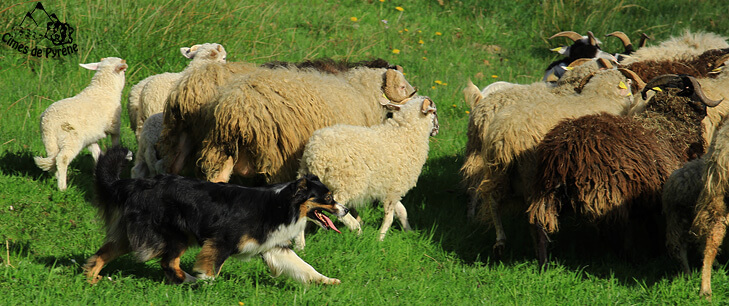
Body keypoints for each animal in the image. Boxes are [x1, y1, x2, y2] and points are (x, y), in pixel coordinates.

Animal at [33, 57, 128, 190]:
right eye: (124, 71)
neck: (104, 89)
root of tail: (49, 122)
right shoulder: (114, 126)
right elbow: (115, 143)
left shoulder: (90, 138)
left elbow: (97, 153)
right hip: (71, 138)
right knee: (62, 159)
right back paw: (62, 187)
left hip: (49, 140)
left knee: (53, 158)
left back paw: (58, 177)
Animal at [84, 146, 346, 284]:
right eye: (328, 198)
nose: (345, 210)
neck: (283, 205)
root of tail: (137, 184)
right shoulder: (222, 240)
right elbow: (213, 268)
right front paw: (208, 282)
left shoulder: (273, 247)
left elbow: (304, 267)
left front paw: (328, 281)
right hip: (174, 233)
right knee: (168, 262)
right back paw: (192, 281)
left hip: (135, 235)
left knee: (104, 253)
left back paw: (91, 279)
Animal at [198, 61, 416, 183]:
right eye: (402, 86)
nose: (416, 94)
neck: (361, 92)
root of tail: (237, 106)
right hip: (278, 156)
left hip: (222, 147)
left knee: (218, 180)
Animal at [296, 96, 438, 249]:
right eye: (434, 112)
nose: (437, 130)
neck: (406, 133)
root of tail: (315, 155)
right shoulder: (394, 189)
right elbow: (389, 217)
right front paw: (380, 239)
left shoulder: (389, 188)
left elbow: (402, 211)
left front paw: (409, 231)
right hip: (346, 182)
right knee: (338, 205)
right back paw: (356, 228)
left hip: (308, 175)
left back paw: (300, 246)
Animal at [528, 74, 724, 268]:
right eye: (696, 92)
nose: (705, 111)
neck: (668, 124)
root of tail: (565, 149)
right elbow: (651, 226)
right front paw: (656, 252)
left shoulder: (646, 196)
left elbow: (650, 225)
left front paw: (655, 253)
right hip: (607, 193)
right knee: (614, 232)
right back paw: (627, 261)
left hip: (547, 189)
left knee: (540, 226)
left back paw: (543, 264)